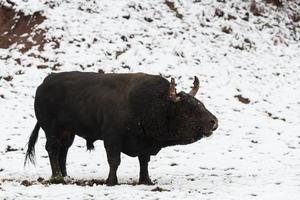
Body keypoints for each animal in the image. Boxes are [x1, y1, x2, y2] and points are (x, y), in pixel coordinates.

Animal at [25, 71, 218, 185]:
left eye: (201, 103)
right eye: (188, 108)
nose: (214, 121)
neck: (151, 104)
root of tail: (44, 83)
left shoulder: (144, 143)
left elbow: (144, 162)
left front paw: (146, 180)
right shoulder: (112, 140)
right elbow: (114, 161)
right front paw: (111, 181)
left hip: (68, 131)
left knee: (63, 150)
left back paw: (66, 176)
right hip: (52, 129)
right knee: (53, 149)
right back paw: (57, 176)